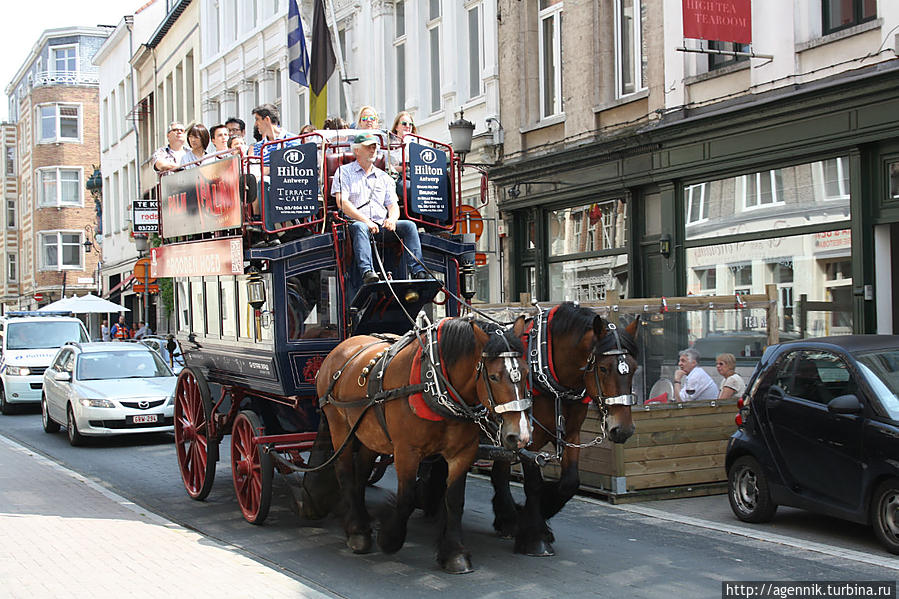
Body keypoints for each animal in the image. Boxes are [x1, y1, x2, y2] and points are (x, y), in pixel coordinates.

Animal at [316, 316, 532, 576]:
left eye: (527, 372)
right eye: (494, 377)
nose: (519, 435)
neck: (436, 382)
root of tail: (341, 348)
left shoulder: (462, 453)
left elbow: (454, 500)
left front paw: (454, 553)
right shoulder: (406, 451)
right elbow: (406, 497)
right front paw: (390, 539)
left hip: (371, 433)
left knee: (362, 471)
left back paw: (362, 521)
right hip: (339, 426)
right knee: (346, 472)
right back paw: (357, 531)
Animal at [488, 304, 644, 556]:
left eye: (634, 368)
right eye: (603, 368)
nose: (623, 429)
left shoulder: (571, 434)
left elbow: (570, 482)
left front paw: (543, 513)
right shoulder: (528, 438)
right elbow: (534, 485)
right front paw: (535, 536)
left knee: (499, 473)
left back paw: (507, 519)